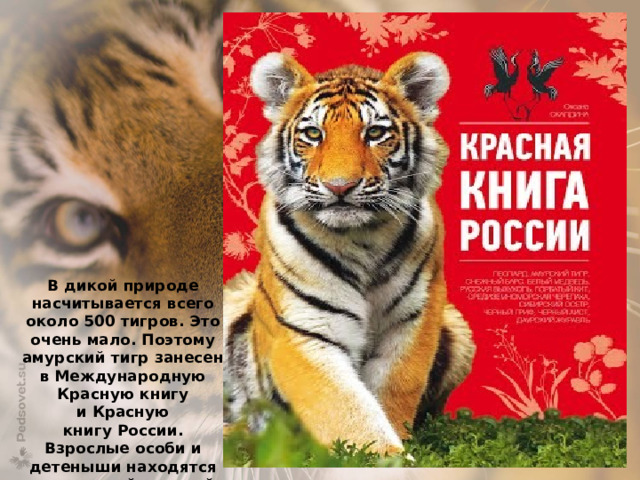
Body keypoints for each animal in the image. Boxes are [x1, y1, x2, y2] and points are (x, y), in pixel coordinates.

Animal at [223, 51, 476, 454]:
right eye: (313, 134)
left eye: (374, 133)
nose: (339, 187)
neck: (362, 238)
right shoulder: (305, 331)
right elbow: (344, 408)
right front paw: (384, 457)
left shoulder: (412, 320)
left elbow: (393, 390)